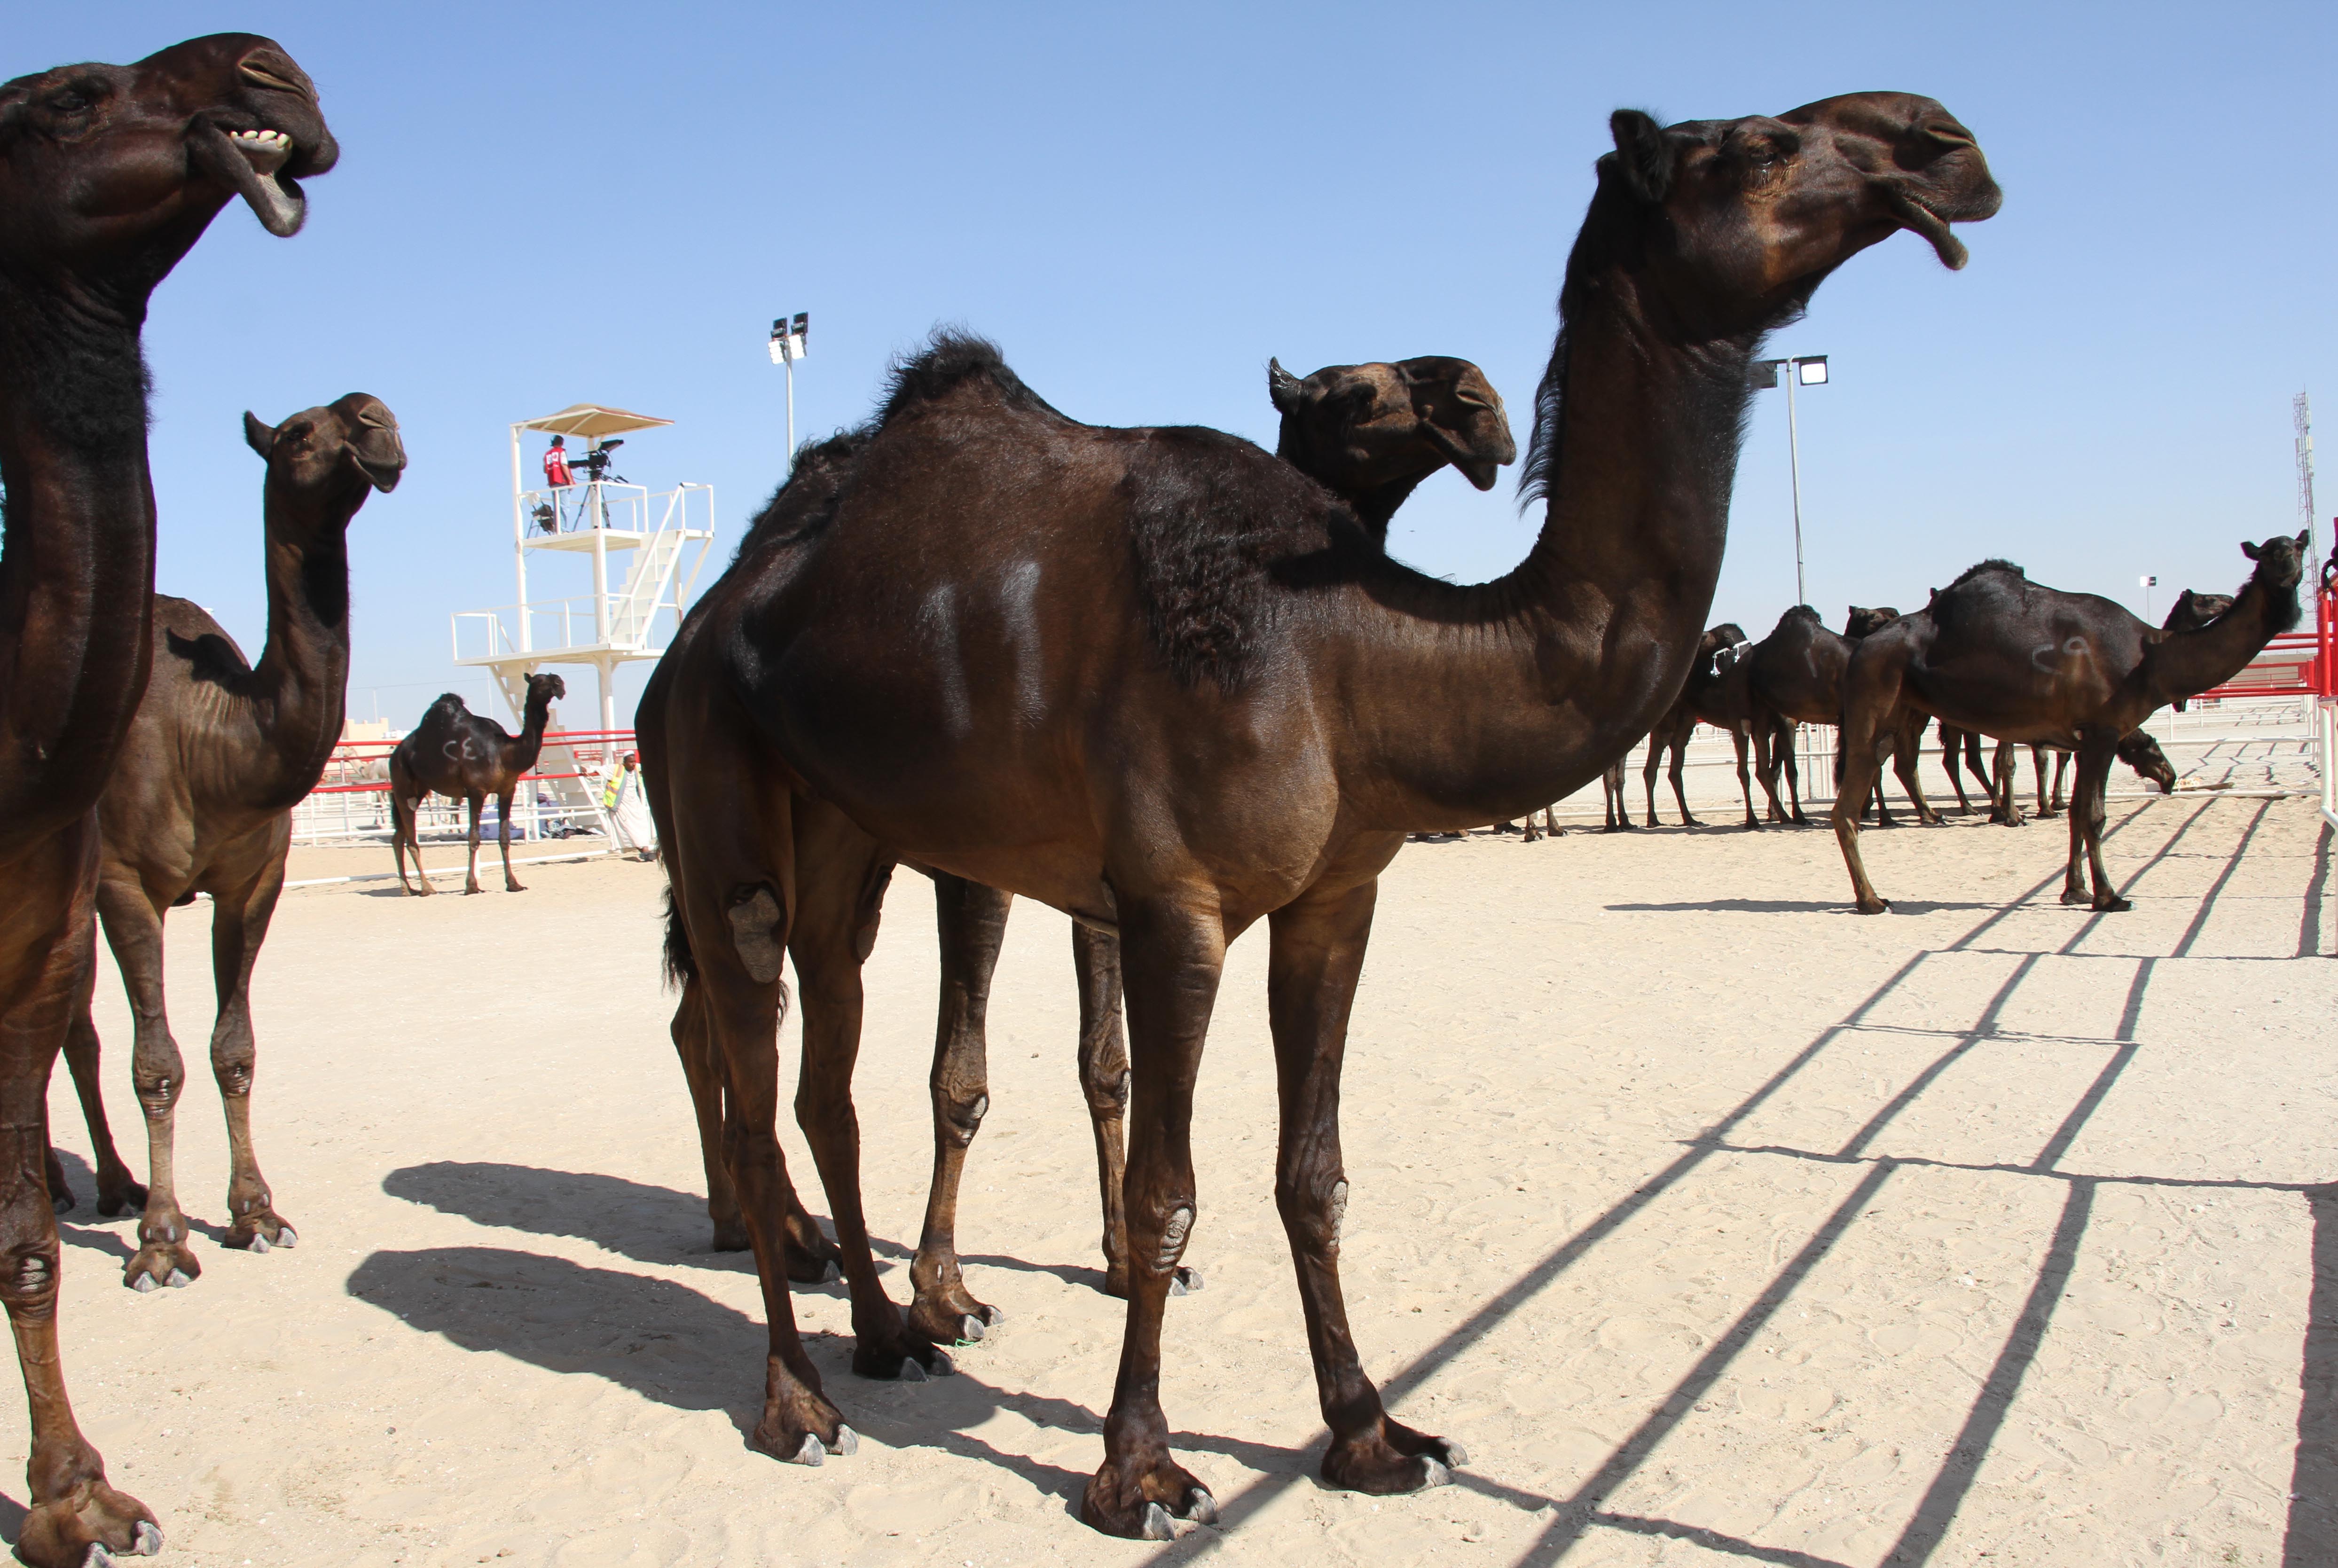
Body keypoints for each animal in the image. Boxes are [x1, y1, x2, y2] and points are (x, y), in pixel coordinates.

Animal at [44, 392, 402, 1290]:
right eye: (301, 433)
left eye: (366, 417)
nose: (378, 424)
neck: (212, 738)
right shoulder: (126, 882)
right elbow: (158, 1060)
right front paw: (164, 1243)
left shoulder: (251, 880)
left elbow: (232, 1047)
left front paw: (255, 1215)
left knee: (71, 1025)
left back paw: (109, 1185)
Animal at [388, 673, 565, 897]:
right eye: (540, 680)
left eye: (554, 678)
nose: (560, 684)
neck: (504, 752)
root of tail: (394, 755)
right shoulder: (476, 792)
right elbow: (473, 838)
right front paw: (471, 886)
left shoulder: (507, 790)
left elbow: (505, 838)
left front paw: (513, 884)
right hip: (403, 788)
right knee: (411, 840)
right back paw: (427, 888)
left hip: (417, 791)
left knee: (398, 838)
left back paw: (406, 888)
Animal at [645, 92, 2010, 1542]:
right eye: (1752, 148)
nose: (1941, 147)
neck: (1345, 650)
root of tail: (706, 624)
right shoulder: (1172, 903)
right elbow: (1167, 1189)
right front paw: (1139, 1469)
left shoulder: (1335, 896)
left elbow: (1316, 1174)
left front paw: (1368, 1431)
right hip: (714, 791)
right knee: (747, 1049)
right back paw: (799, 1400)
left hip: (846, 835)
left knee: (825, 1067)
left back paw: (888, 1336)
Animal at [1833, 540, 2310, 916]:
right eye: (2271, 552)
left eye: (2297, 547)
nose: (2289, 568)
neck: (2149, 657)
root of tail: (1859, 652)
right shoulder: (2103, 732)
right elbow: (2095, 815)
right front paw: (2109, 896)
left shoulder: (2083, 740)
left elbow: (2078, 813)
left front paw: (2075, 890)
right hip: (1873, 708)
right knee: (1849, 806)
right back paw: (1872, 899)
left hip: (1896, 718)